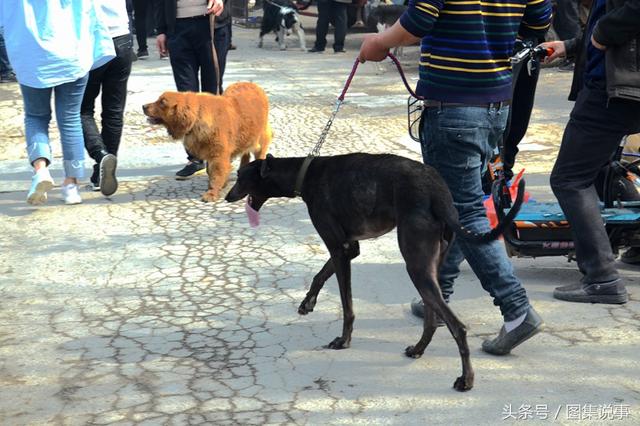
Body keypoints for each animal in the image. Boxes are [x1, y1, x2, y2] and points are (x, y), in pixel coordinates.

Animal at [142, 83, 272, 203]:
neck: (197, 117)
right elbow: (210, 171)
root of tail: (253, 84)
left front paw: (212, 192)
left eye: (162, 102)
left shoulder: (218, 155)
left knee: (259, 154)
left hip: (259, 139)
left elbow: (216, 173)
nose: (143, 106)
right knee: (245, 154)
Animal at [224, 151, 520, 392]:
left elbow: (347, 306)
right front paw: (307, 303)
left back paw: (466, 380)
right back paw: (418, 349)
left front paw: (343, 340)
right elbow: (320, 275)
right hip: (430, 266)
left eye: (239, 176)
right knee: (432, 316)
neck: (304, 173)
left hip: (416, 265)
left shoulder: (338, 248)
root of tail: (439, 191)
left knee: (457, 326)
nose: (226, 196)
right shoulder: (348, 247)